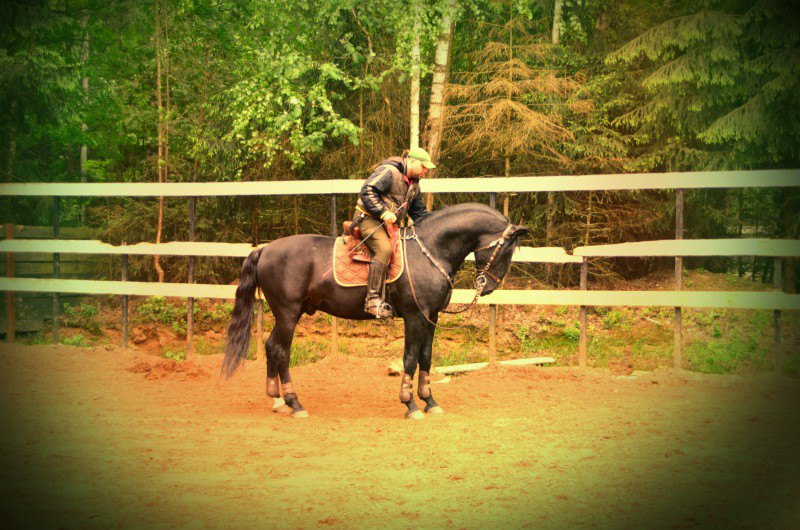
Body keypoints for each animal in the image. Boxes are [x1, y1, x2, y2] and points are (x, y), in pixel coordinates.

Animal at [222, 202, 528, 416]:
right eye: (506, 250)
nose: (487, 287)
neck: (429, 251)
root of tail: (264, 249)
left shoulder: (431, 317)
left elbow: (426, 358)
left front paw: (429, 401)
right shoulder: (414, 317)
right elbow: (410, 359)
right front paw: (410, 404)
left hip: (283, 314)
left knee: (271, 347)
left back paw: (277, 399)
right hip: (288, 313)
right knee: (281, 351)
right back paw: (294, 403)